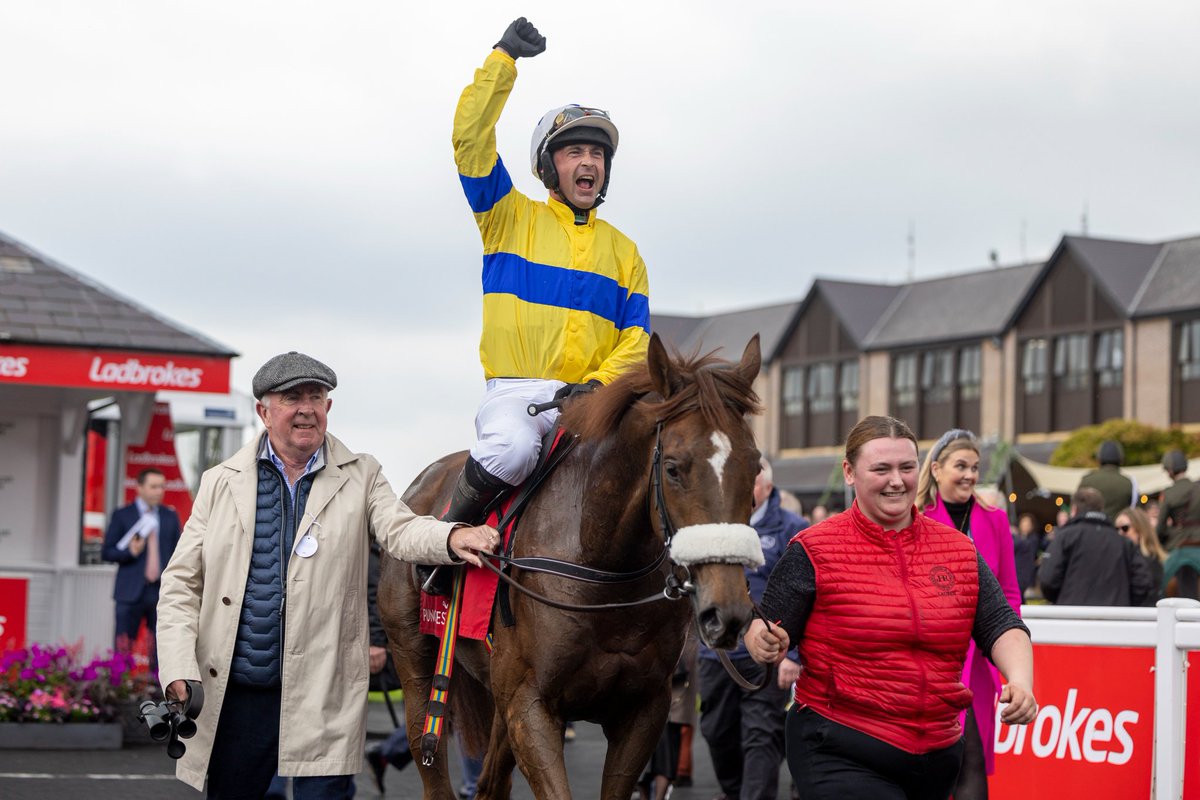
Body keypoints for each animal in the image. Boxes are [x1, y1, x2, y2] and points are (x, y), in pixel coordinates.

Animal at [379, 333, 763, 800]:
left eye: (755, 466)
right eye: (673, 468)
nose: (728, 612)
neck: (602, 569)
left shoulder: (644, 709)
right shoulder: (530, 705)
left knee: (491, 782)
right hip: (414, 658)